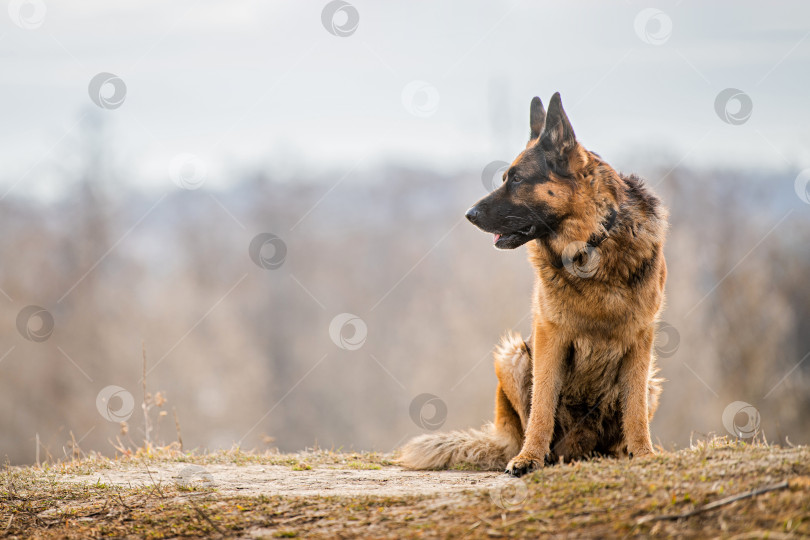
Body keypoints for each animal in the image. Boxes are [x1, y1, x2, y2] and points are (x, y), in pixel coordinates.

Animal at [400, 93, 664, 476]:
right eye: (504, 177)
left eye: (516, 180)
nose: (469, 215)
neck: (589, 245)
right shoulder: (549, 336)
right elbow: (542, 406)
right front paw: (529, 458)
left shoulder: (641, 340)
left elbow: (635, 411)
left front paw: (643, 453)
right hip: (511, 355)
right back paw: (536, 454)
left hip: (652, 382)